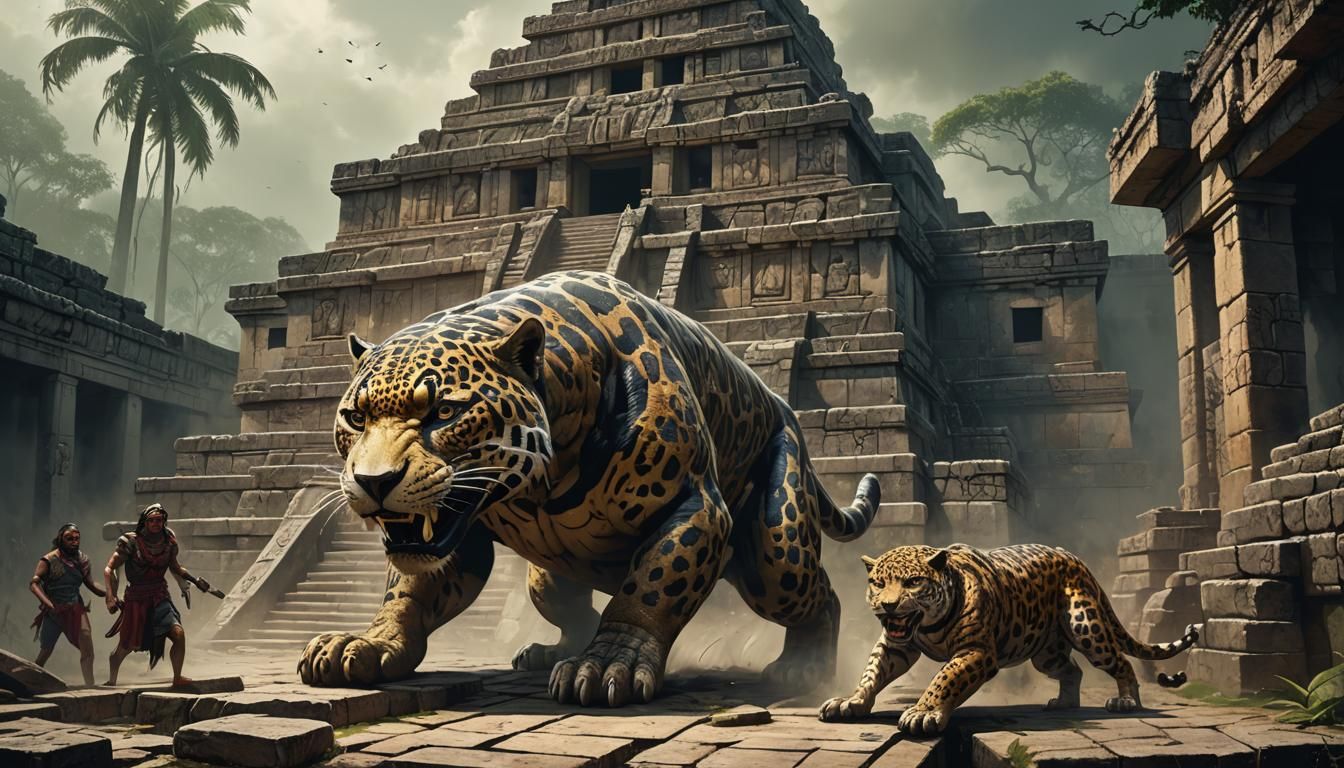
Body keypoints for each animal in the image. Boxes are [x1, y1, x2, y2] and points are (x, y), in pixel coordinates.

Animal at [297, 270, 880, 707]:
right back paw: (547, 653)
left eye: (444, 412)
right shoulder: (456, 531)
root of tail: (784, 406)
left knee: (817, 592)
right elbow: (410, 590)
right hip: (547, 577)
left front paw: (607, 666)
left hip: (776, 556)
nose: (373, 481)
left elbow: (650, 588)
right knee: (572, 606)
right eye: (354, 417)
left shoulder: (695, 507)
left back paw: (804, 668)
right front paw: (365, 644)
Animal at [819, 544, 1198, 735]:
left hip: (1086, 628)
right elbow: (871, 673)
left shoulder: (975, 652)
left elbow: (944, 679)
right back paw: (1064, 703)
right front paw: (850, 702)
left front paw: (923, 712)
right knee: (1072, 670)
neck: (927, 626)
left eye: (913, 582)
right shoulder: (895, 646)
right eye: (878, 583)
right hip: (1045, 653)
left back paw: (1127, 701)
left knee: (1119, 660)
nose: (888, 605)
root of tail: (1075, 558)